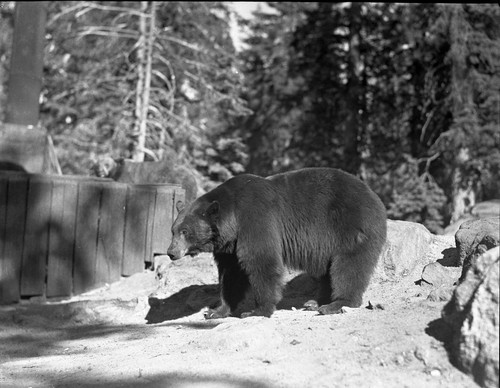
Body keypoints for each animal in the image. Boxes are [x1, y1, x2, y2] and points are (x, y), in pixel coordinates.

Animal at [168, 167, 386, 318]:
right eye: (173, 230)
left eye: (185, 231)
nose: (171, 252)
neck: (233, 218)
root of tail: (374, 196)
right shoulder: (230, 246)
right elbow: (231, 274)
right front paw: (216, 310)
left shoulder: (256, 218)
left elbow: (261, 261)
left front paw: (257, 310)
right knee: (329, 271)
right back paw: (314, 302)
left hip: (350, 226)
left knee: (348, 266)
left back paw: (336, 304)